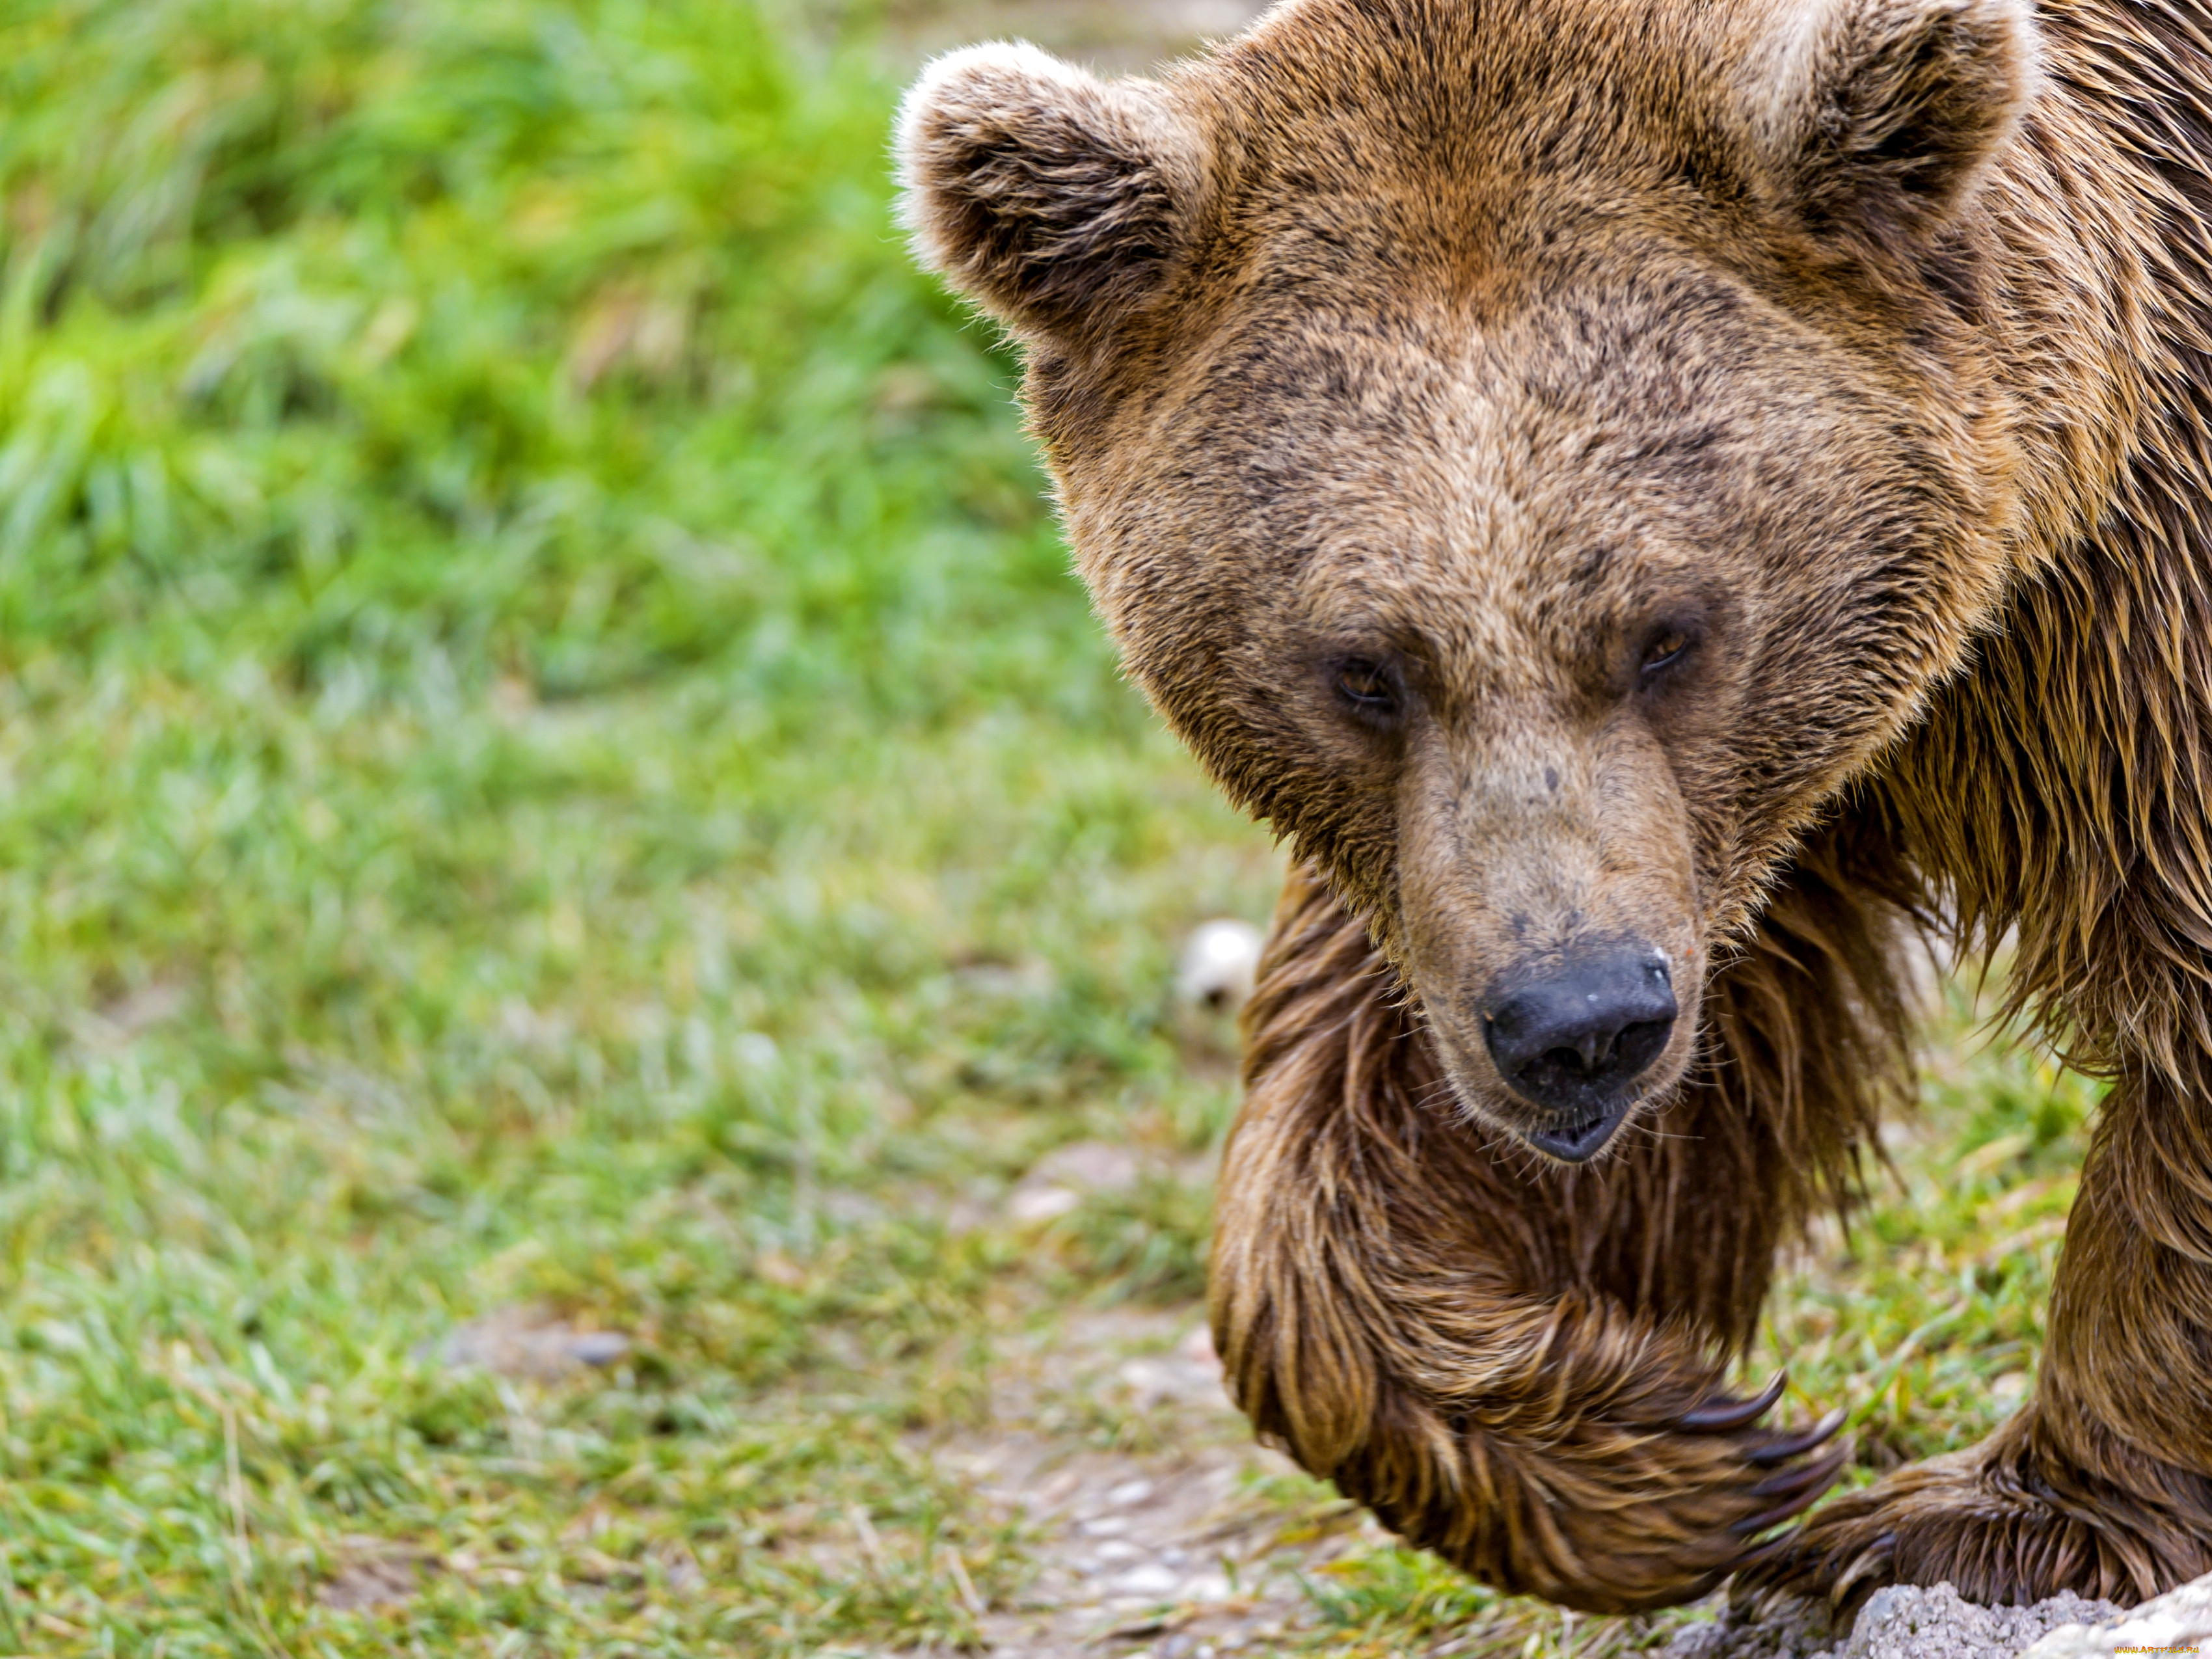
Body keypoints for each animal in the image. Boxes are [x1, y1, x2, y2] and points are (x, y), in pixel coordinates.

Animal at [893, 0, 2212, 1628]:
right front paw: (1663, 1450)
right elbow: (1391, 1099)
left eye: (1668, 630)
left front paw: (1967, 1521)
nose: (1577, 1025)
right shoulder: (1633, 845)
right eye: (1363, 668)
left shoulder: (2104, 613)